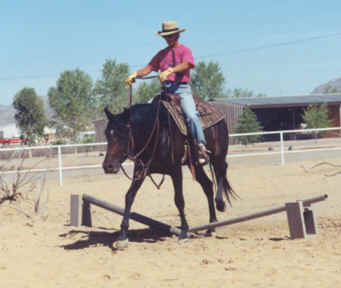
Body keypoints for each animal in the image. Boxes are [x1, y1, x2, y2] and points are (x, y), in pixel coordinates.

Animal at [102, 95, 235, 249]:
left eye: (123, 134)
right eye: (107, 134)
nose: (108, 166)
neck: (157, 132)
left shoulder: (176, 170)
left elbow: (179, 200)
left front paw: (184, 232)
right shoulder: (141, 170)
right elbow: (129, 196)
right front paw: (123, 236)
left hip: (218, 155)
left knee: (222, 171)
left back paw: (220, 204)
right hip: (195, 164)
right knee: (207, 185)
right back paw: (211, 225)